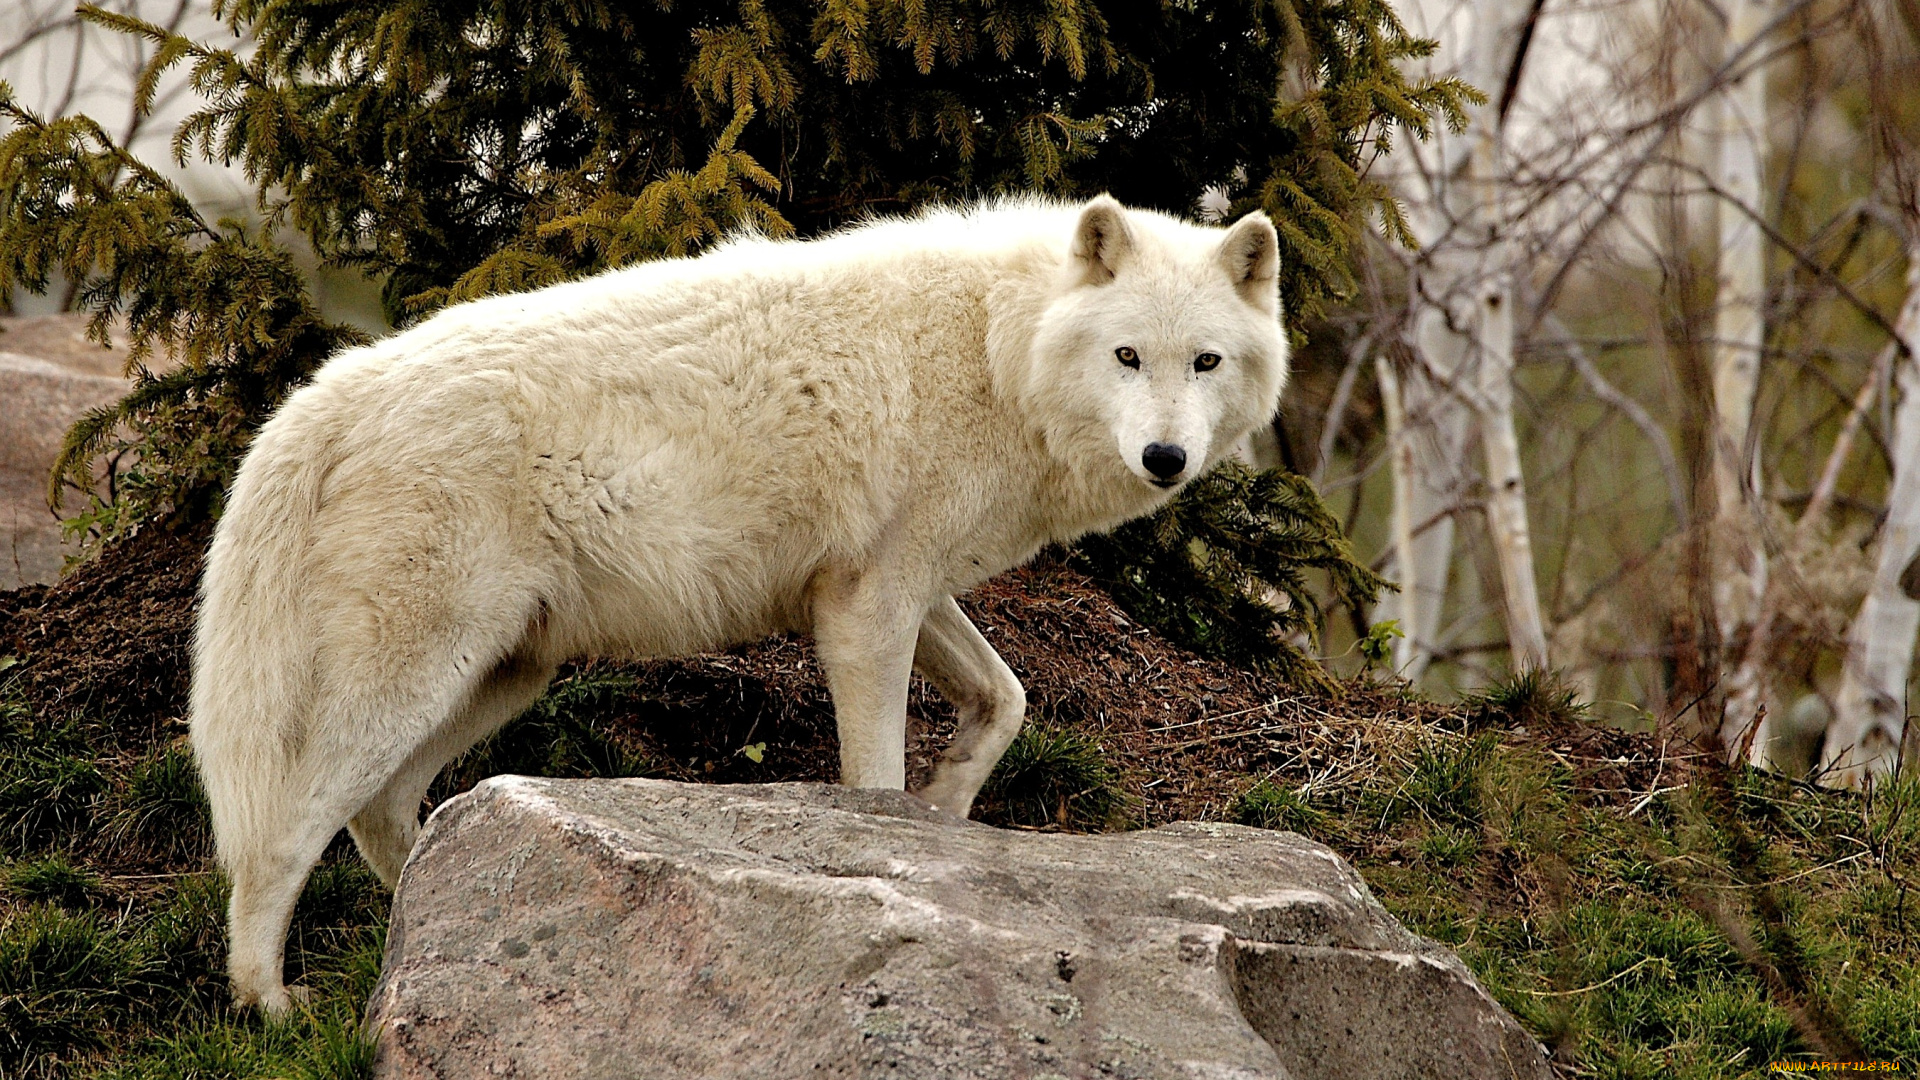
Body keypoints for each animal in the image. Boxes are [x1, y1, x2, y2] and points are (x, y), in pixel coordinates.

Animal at [194, 195, 1290, 1006]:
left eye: (1204, 361)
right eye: (1127, 357)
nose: (1165, 457)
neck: (995, 348)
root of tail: (328, 390)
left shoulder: (896, 588)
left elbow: (1007, 700)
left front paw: (947, 805)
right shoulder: (867, 611)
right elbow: (875, 778)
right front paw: (905, 853)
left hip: (502, 676)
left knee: (382, 813)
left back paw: (431, 921)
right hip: (419, 680)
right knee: (281, 837)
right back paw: (269, 1007)